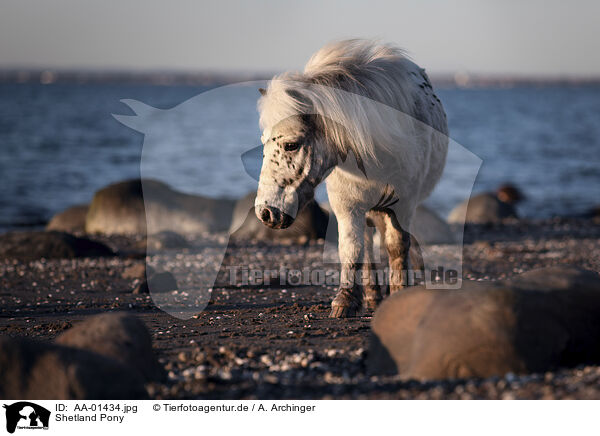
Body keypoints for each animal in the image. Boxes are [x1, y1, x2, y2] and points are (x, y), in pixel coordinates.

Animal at [255, 40, 448, 316]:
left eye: (291, 145)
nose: (265, 213)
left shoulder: (404, 205)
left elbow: (397, 245)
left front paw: (399, 293)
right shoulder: (347, 205)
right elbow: (352, 247)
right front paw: (345, 301)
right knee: (367, 245)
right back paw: (372, 296)